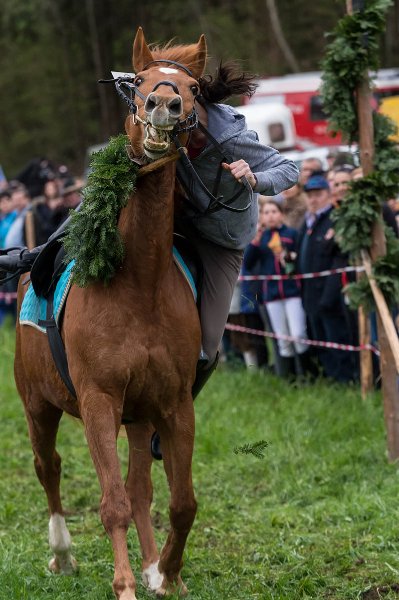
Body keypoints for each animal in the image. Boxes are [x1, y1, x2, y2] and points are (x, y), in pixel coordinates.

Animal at [13, 25, 206, 596]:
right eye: (138, 81)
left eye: (195, 88)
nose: (164, 104)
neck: (138, 284)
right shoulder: (98, 399)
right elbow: (112, 502)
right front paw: (124, 584)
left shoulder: (172, 403)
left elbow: (180, 502)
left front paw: (166, 574)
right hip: (37, 402)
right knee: (48, 466)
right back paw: (62, 554)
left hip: (138, 416)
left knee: (141, 485)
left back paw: (150, 562)